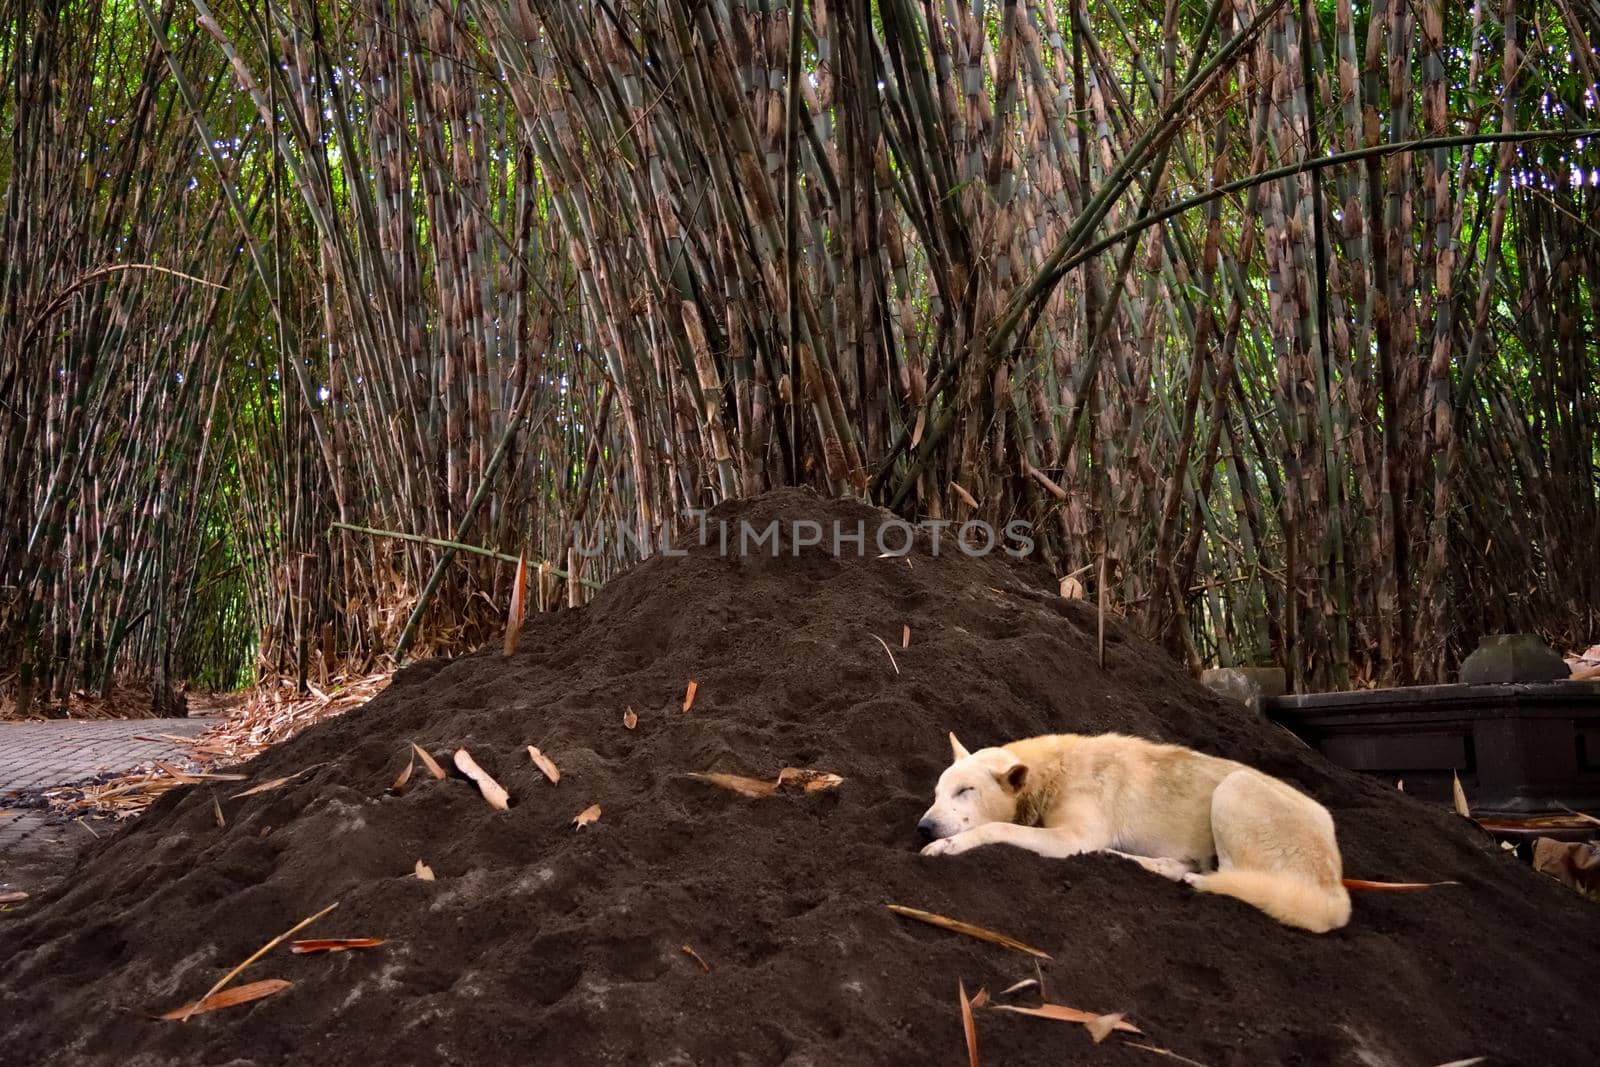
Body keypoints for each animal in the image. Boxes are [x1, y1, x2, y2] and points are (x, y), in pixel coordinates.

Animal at [915, 729, 1350, 927]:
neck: (1052, 772)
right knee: (1183, 868)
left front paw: (949, 845)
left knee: (1222, 875)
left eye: (966, 791)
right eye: (936, 792)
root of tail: (1336, 893)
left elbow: (993, 830)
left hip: (1234, 788)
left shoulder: (1069, 839)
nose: (924, 826)